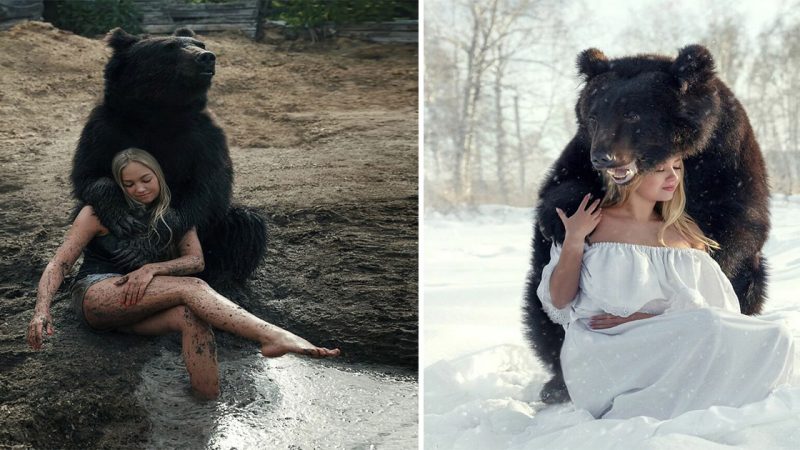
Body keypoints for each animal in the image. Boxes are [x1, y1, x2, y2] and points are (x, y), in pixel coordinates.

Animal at [72, 27, 266, 282]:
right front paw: (121, 218)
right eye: (169, 47)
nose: (207, 57)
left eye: (200, 43)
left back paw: (225, 278)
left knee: (245, 224)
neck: (159, 111)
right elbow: (88, 174)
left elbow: (208, 189)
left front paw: (143, 246)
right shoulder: (105, 128)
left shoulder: (205, 138)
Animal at [520, 45, 772, 404]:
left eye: (633, 115)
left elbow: (733, 226)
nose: (604, 157)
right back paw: (557, 384)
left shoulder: (725, 158)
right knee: (541, 307)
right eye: (594, 115)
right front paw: (561, 219)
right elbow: (561, 187)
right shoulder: (579, 151)